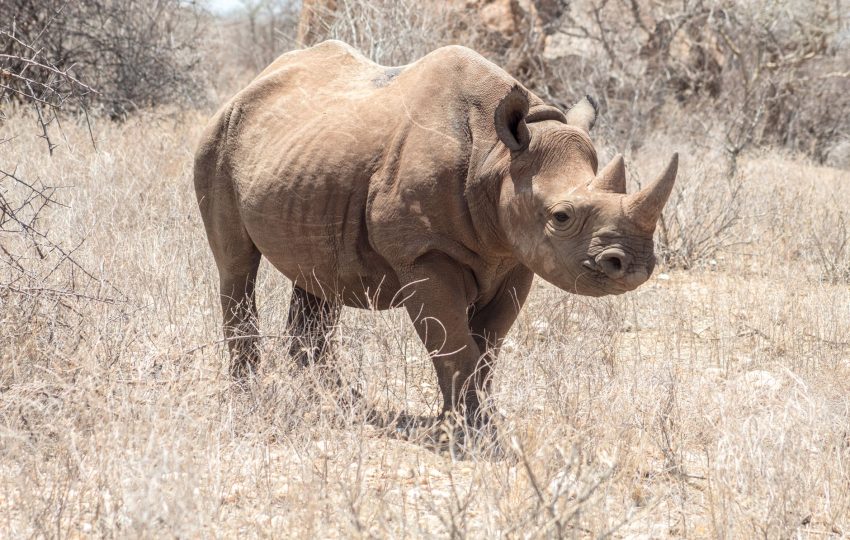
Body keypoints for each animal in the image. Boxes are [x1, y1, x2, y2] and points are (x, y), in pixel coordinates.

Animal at [194, 41, 678, 425]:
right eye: (561, 216)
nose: (634, 266)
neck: (497, 158)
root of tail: (248, 87)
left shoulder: (515, 256)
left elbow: (486, 347)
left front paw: (472, 419)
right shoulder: (423, 254)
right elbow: (454, 344)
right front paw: (470, 432)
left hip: (309, 164)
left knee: (317, 277)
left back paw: (338, 401)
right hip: (217, 140)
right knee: (236, 265)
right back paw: (249, 396)